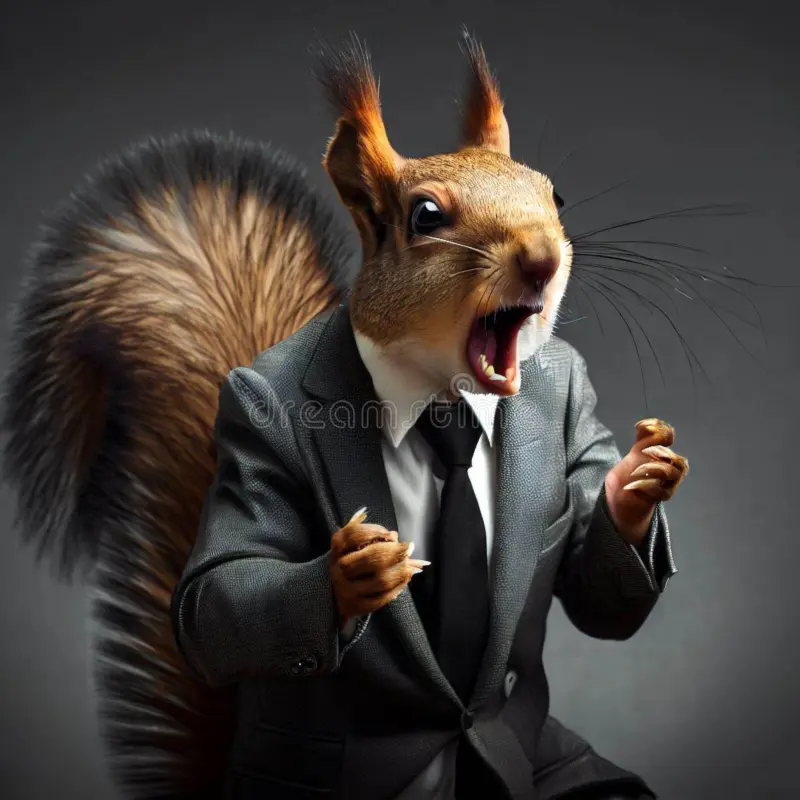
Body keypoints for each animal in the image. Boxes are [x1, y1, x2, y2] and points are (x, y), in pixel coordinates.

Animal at [1, 31, 688, 800]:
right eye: (425, 216)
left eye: (554, 195)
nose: (543, 257)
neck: (442, 399)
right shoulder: (251, 433)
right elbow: (213, 596)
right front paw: (349, 577)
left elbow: (597, 590)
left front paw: (638, 481)